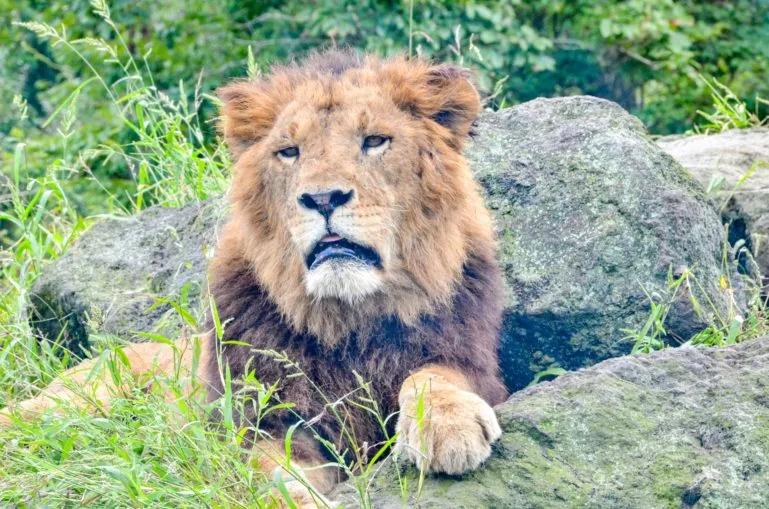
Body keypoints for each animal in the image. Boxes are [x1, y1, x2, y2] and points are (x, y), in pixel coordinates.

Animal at [0, 51, 508, 507]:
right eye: (289, 152)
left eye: (375, 141)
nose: (323, 199)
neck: (348, 320)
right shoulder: (263, 423)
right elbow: (274, 479)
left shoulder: (469, 360)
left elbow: (432, 377)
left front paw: (448, 426)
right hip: (73, 402)